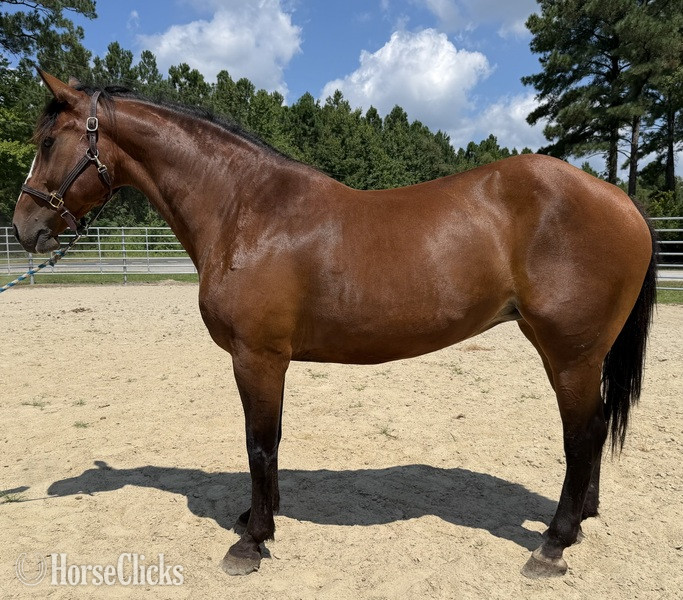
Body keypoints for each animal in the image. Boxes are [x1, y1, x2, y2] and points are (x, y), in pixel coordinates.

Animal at [12, 71, 656, 578]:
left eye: (48, 141)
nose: (24, 228)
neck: (246, 209)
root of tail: (620, 200)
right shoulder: (265, 360)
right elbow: (269, 442)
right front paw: (257, 518)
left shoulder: (257, 356)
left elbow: (259, 443)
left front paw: (252, 541)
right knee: (595, 430)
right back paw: (579, 522)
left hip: (569, 354)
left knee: (582, 435)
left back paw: (552, 544)